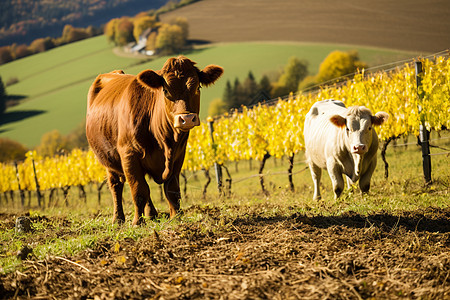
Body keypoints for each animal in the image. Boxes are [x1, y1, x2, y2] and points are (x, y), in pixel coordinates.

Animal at [85, 56, 223, 225]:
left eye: (198, 87)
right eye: (165, 90)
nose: (186, 119)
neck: (165, 141)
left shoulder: (178, 156)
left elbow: (171, 190)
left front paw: (176, 217)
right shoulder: (129, 155)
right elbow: (138, 190)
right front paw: (137, 222)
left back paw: (151, 215)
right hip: (108, 160)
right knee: (116, 185)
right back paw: (118, 219)